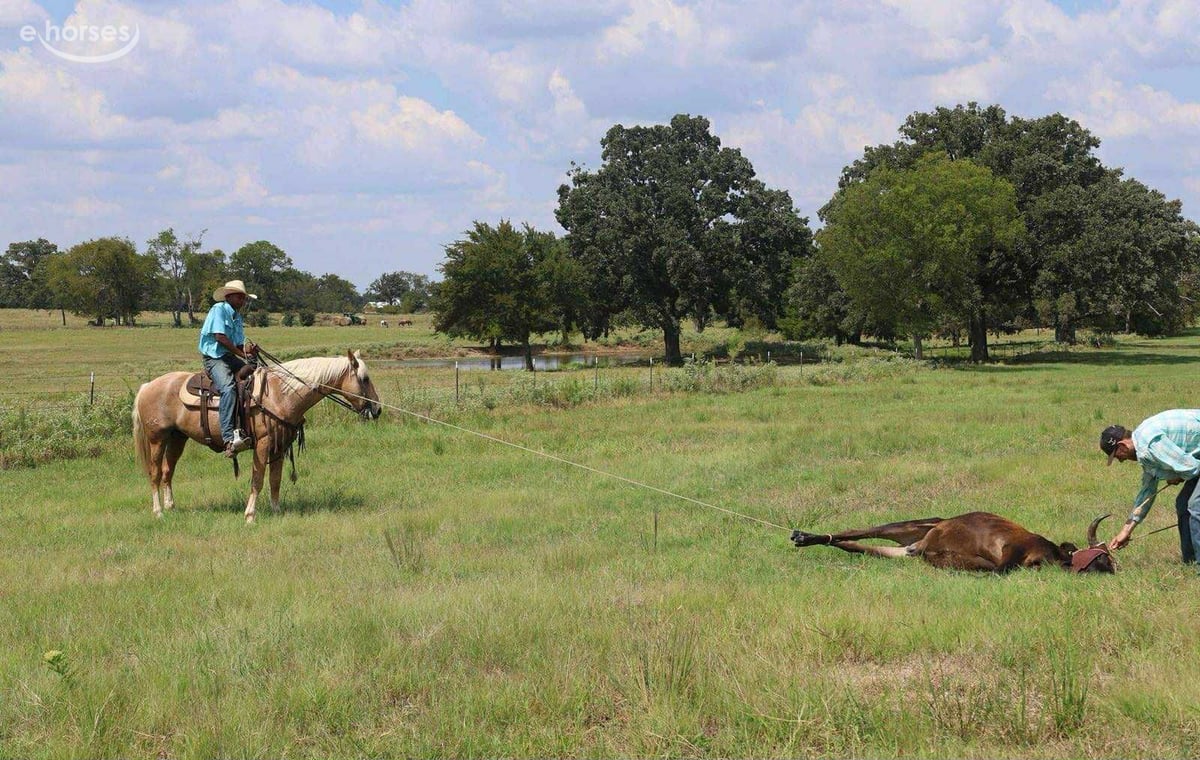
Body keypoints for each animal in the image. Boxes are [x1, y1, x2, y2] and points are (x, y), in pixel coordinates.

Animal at [133, 350, 382, 522]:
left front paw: (277, 511)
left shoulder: (279, 447)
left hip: (177, 438)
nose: (378, 409)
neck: (281, 394)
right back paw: (158, 512)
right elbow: (258, 480)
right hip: (157, 438)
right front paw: (250, 515)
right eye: (364, 378)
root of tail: (146, 386)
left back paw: (171, 507)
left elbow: (275, 480)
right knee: (155, 473)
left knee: (168, 472)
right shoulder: (263, 445)